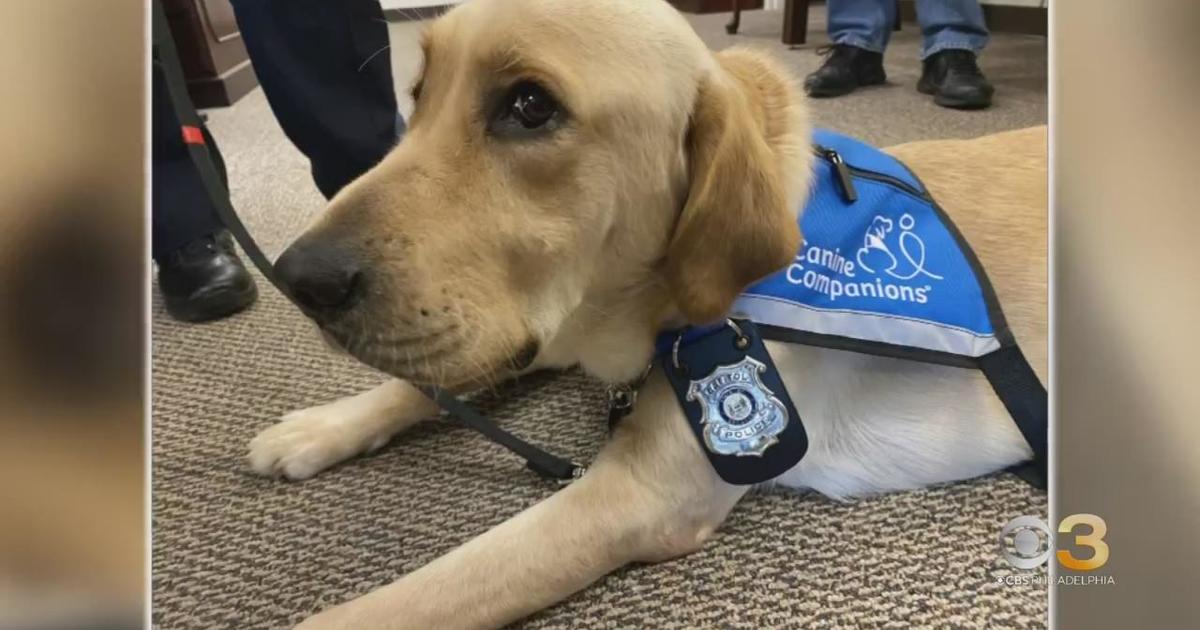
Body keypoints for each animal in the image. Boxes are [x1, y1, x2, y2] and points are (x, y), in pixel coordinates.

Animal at [243, 0, 1041, 624]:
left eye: (530, 107)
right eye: (418, 93)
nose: (298, 278)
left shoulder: (641, 497)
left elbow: (406, 598)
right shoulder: (556, 323)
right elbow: (420, 384)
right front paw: (321, 427)